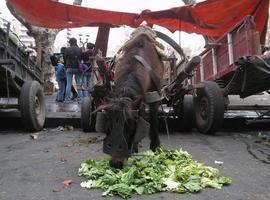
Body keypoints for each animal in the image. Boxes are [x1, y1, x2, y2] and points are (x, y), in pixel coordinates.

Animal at [101, 28, 165, 168]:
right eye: (109, 124)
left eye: (130, 125)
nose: (116, 163)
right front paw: (135, 148)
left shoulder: (153, 97)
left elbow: (152, 118)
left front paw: (155, 146)